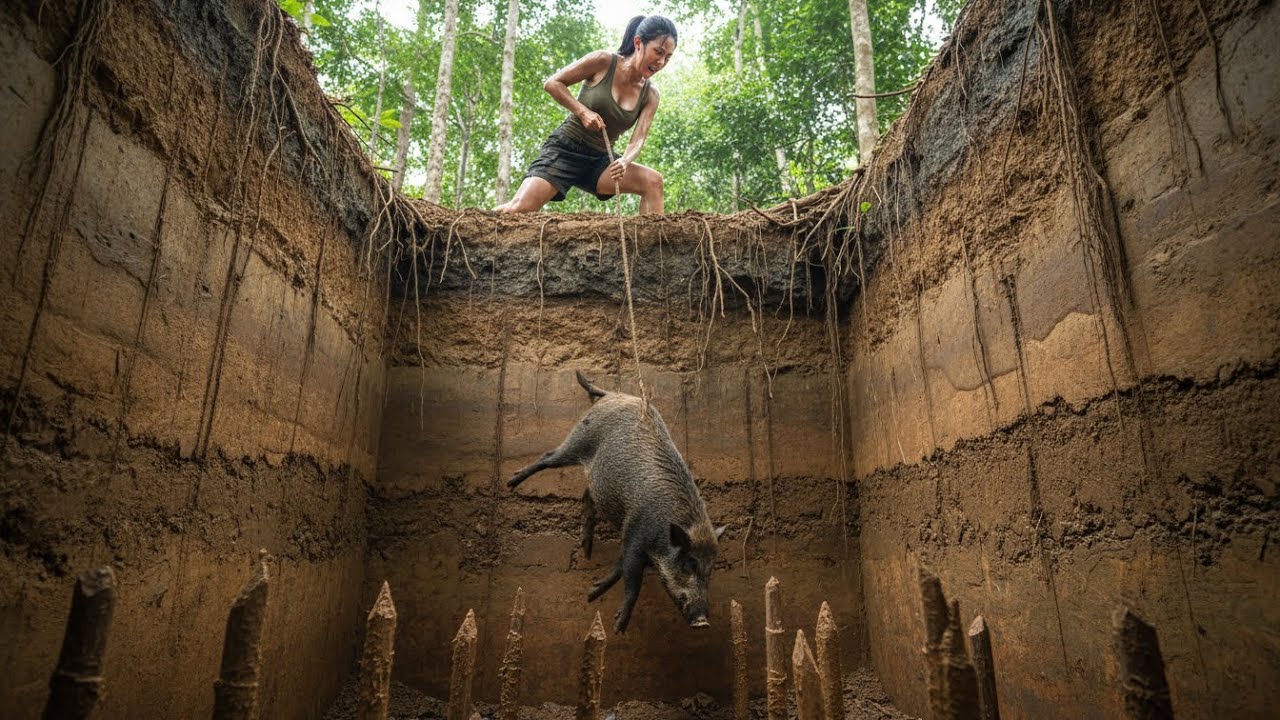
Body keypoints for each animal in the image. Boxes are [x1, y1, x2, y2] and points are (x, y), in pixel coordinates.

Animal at [507, 371, 725, 633]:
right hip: (579, 438)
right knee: (547, 457)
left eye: (710, 569)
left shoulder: (631, 536)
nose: (702, 621)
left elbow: (620, 568)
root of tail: (611, 394)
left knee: (586, 494)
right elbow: (631, 578)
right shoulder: (635, 532)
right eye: (690, 563)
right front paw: (618, 627)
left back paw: (587, 551)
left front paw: (591, 594)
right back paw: (511, 483)